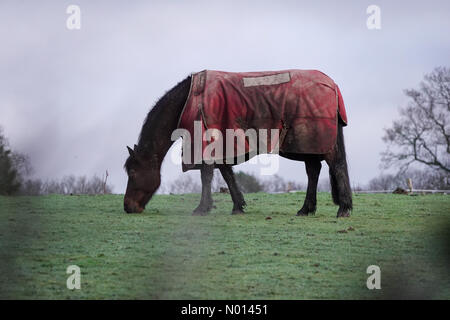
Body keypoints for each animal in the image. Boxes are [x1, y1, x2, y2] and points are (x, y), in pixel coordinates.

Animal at [123, 70, 352, 218]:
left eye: (132, 173)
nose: (128, 207)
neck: (191, 101)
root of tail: (332, 85)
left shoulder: (207, 145)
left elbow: (207, 176)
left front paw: (202, 208)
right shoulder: (222, 145)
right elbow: (226, 174)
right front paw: (238, 206)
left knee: (336, 166)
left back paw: (343, 209)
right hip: (308, 146)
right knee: (314, 171)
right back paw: (306, 209)